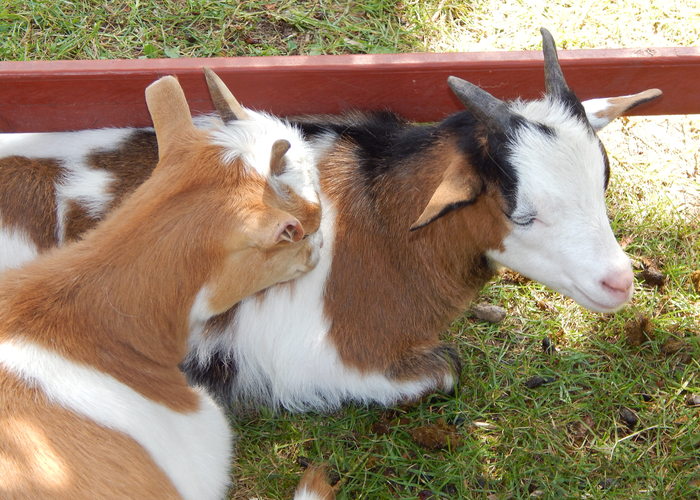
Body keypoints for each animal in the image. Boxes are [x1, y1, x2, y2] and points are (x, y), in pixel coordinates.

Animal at [0, 30, 661, 413]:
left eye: (602, 182)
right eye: (523, 212)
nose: (618, 282)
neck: (386, 225)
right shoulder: (320, 360)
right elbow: (445, 370)